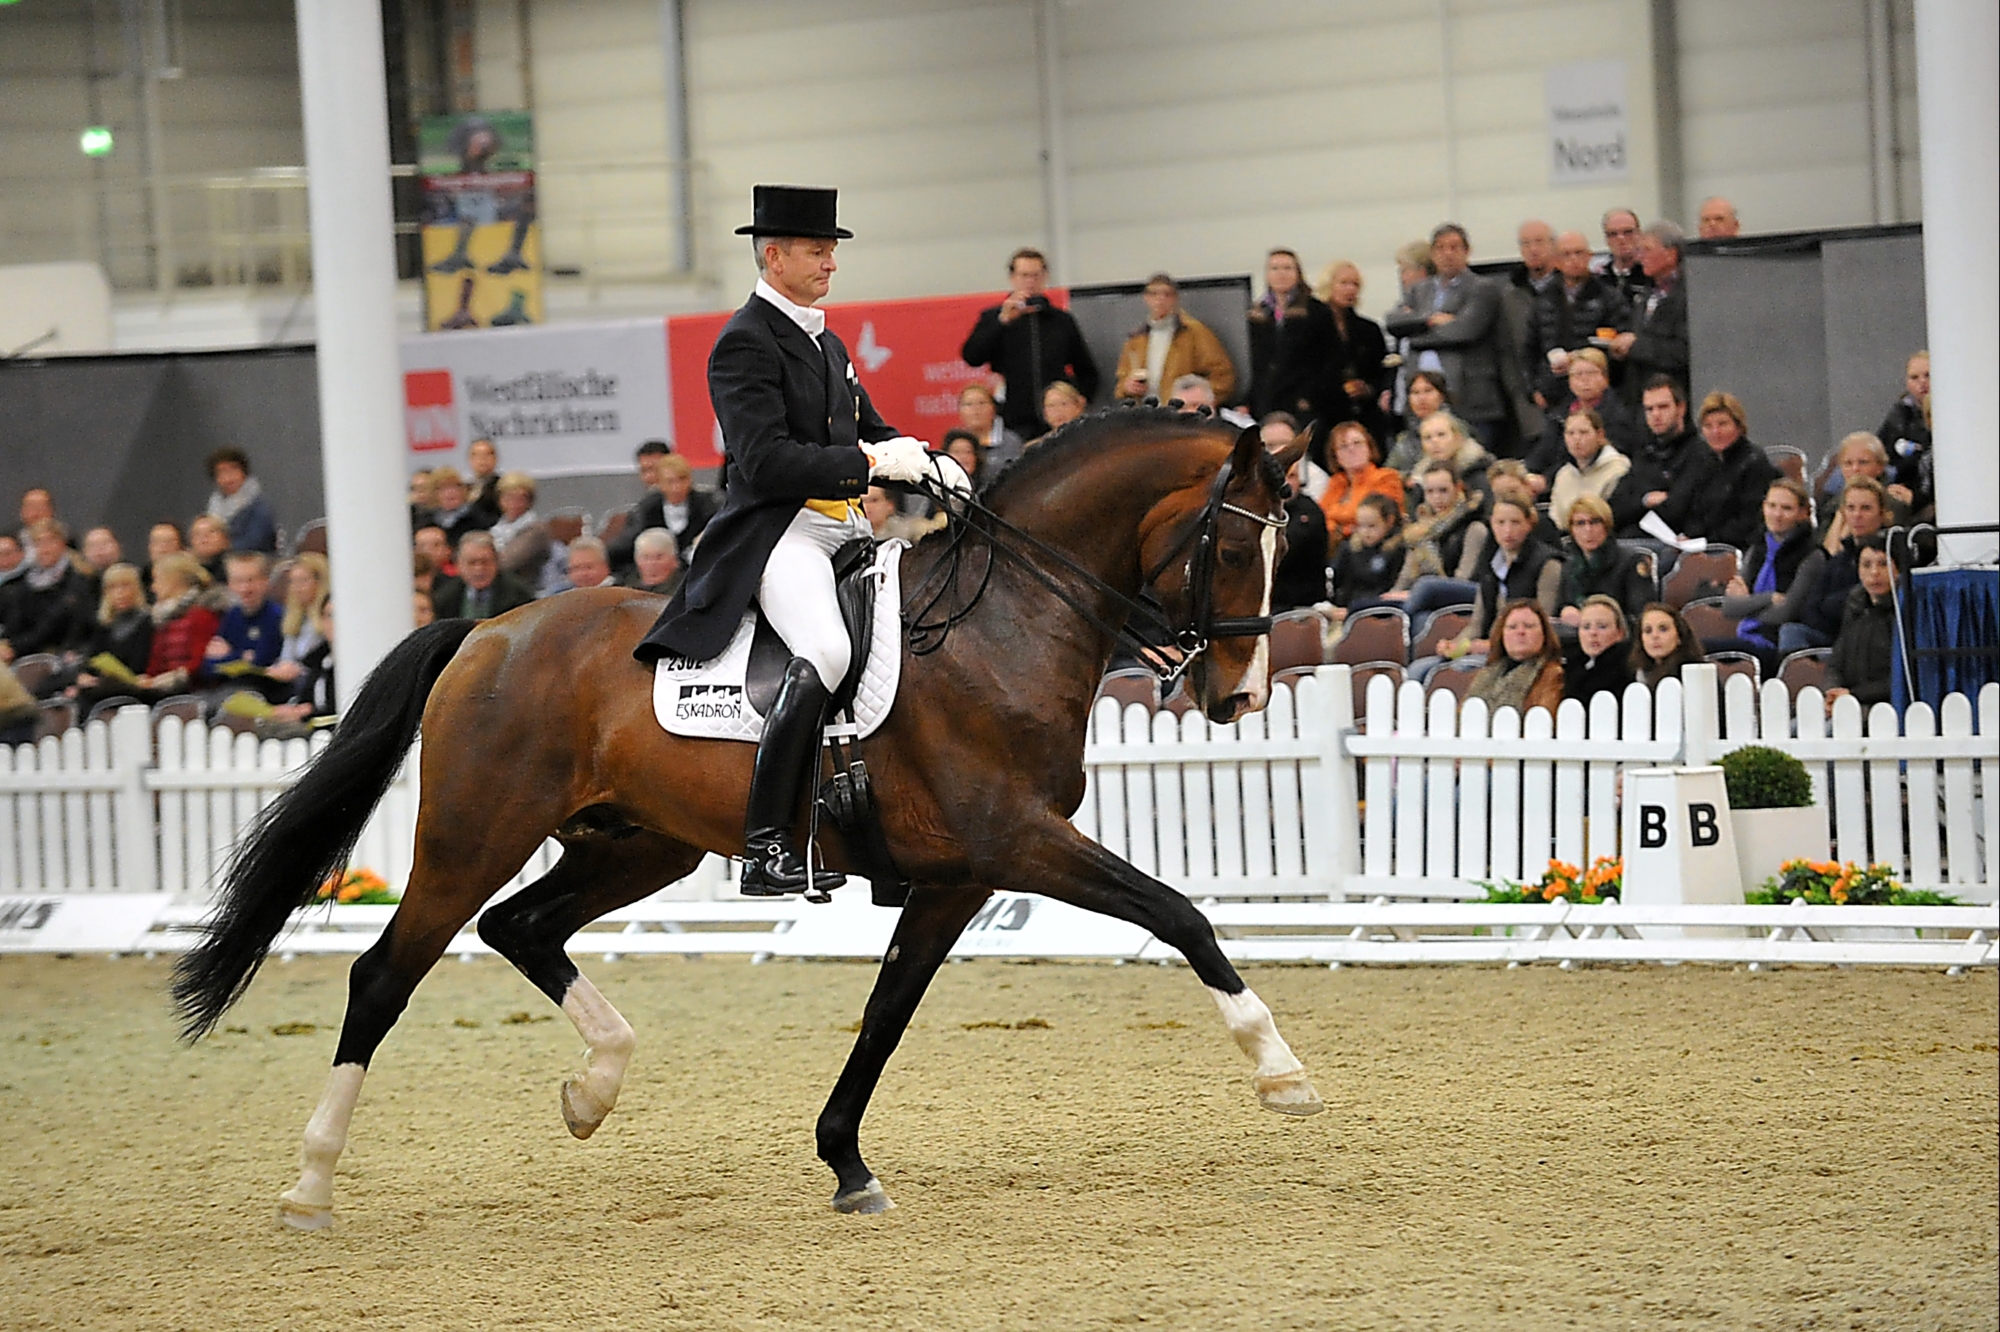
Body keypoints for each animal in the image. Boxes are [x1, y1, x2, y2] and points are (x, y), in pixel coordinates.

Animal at [176, 408, 1328, 1224]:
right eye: (1235, 551)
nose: (1240, 697)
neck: (1002, 623)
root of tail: (486, 630)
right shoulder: (1018, 841)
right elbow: (1178, 913)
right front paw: (1281, 1072)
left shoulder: (960, 878)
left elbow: (886, 1011)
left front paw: (847, 1163)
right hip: (472, 837)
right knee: (386, 975)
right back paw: (310, 1184)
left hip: (637, 845)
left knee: (521, 927)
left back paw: (592, 1089)